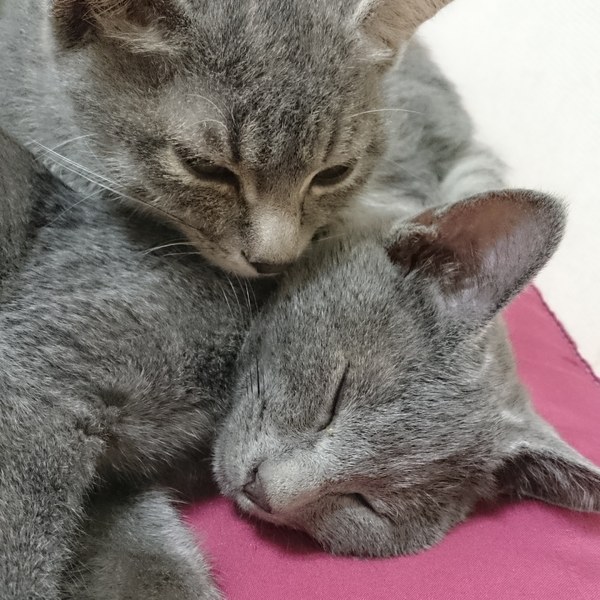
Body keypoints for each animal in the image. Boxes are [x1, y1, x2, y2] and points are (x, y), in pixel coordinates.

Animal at [1, 129, 600, 600]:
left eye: (367, 505)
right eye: (337, 393)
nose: (266, 491)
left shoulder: (113, 492)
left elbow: (145, 564)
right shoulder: (38, 383)